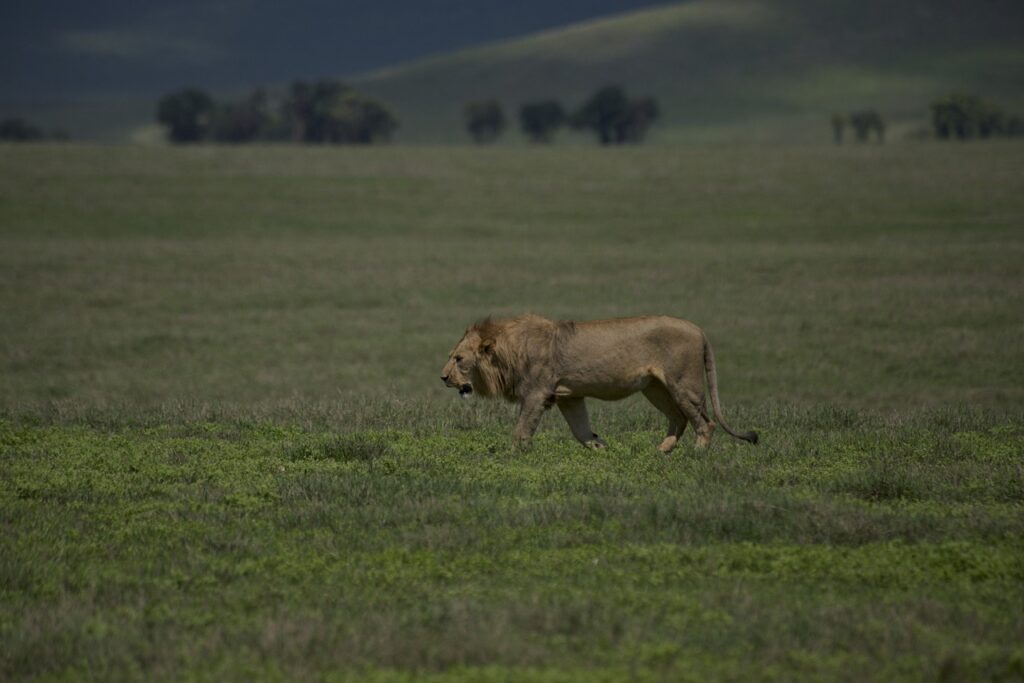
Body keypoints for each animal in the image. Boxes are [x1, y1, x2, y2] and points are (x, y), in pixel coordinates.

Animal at [440, 317, 761, 454]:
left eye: (458, 359)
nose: (443, 378)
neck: (508, 351)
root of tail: (699, 330)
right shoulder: (568, 396)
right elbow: (581, 430)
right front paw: (601, 448)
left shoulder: (537, 392)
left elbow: (521, 430)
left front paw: (512, 456)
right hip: (654, 388)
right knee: (679, 419)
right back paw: (661, 451)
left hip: (684, 385)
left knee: (705, 422)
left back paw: (696, 453)